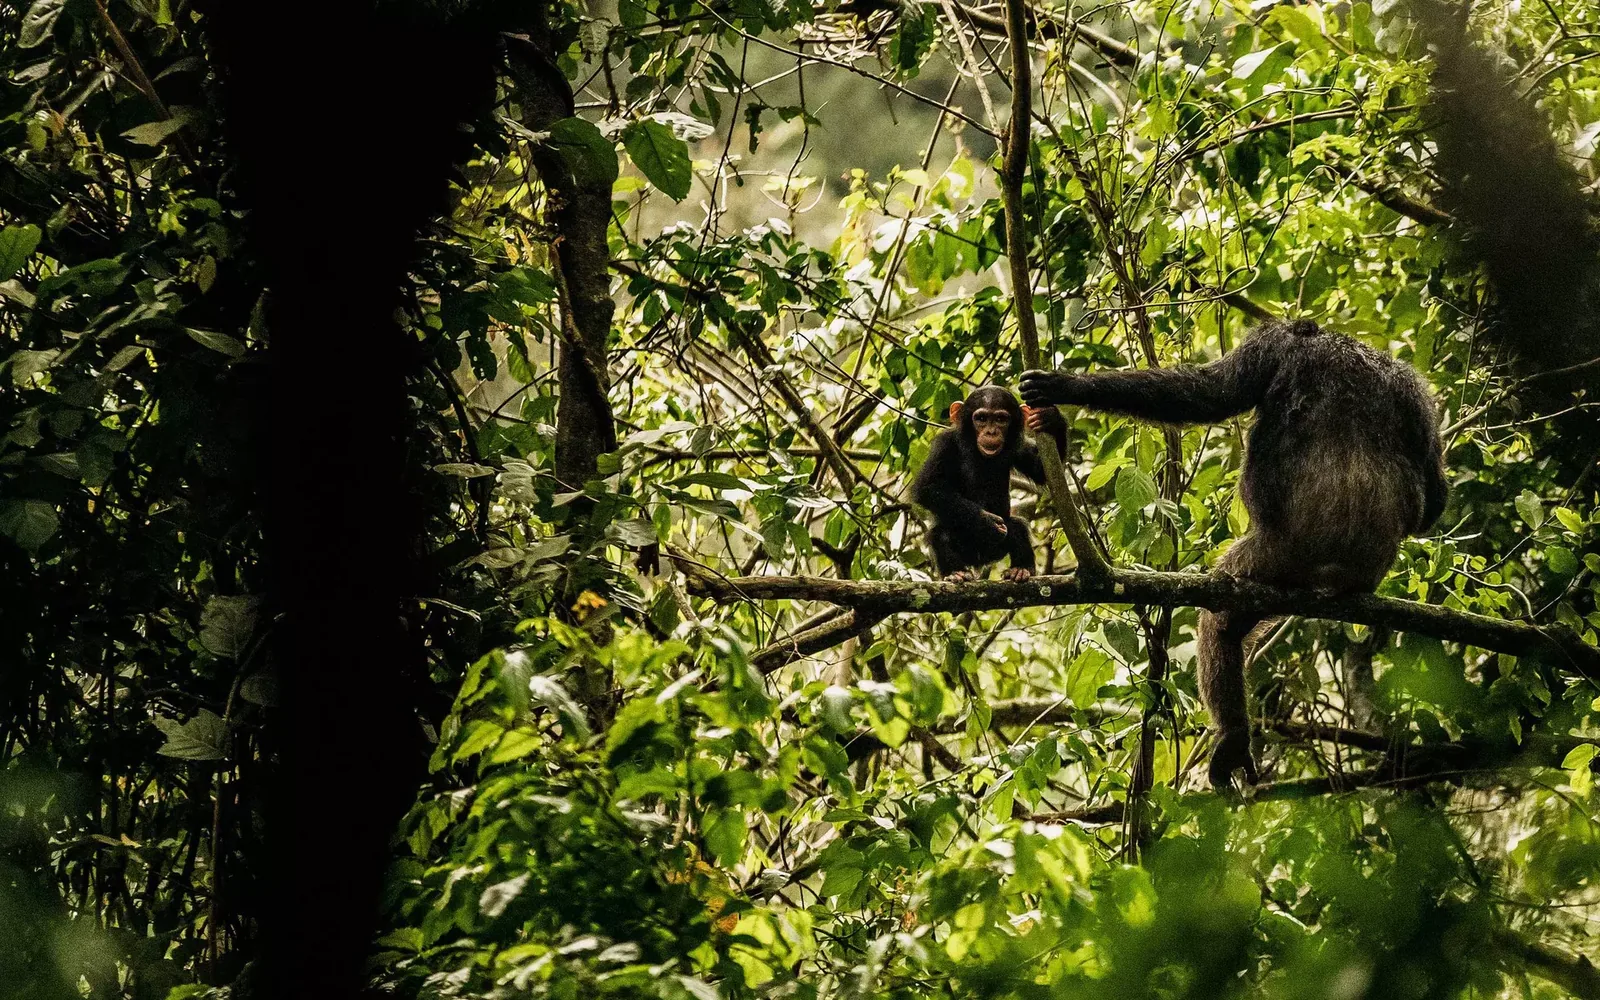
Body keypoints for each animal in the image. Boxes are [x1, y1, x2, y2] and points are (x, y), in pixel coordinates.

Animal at [910, 385, 1068, 582]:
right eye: (981, 419)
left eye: (1001, 419)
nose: (991, 432)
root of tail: (981, 561)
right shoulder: (944, 444)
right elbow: (928, 487)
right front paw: (987, 522)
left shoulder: (1019, 446)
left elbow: (1042, 470)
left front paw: (1052, 418)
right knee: (940, 535)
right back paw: (956, 572)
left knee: (1017, 527)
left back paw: (1020, 568)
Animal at [1020, 318, 1449, 791]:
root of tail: (1337, 574)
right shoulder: (1418, 393)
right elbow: (1435, 493)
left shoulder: (1269, 345)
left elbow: (1210, 393)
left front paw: (1065, 386)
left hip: (1267, 559)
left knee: (1218, 624)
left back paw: (1232, 737)